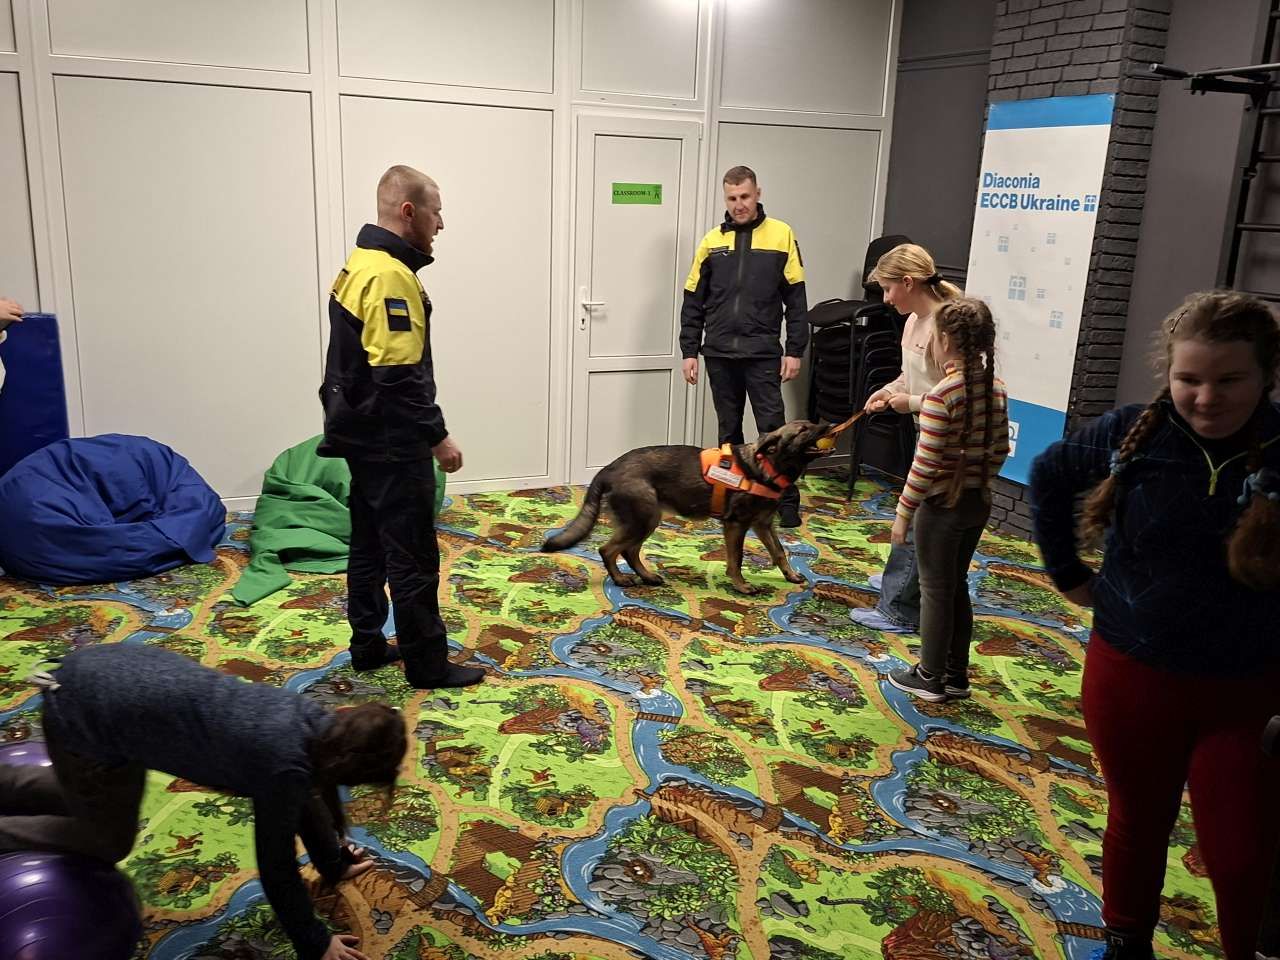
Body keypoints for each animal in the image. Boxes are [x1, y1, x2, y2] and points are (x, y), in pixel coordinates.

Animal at [541, 420, 833, 595]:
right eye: (803, 430)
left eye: (812, 424)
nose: (828, 424)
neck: (767, 467)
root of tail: (608, 469)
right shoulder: (736, 525)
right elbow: (736, 559)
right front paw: (740, 585)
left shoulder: (763, 525)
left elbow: (779, 552)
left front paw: (791, 576)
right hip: (643, 519)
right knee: (609, 549)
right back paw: (621, 579)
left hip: (647, 520)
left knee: (629, 551)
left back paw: (647, 576)